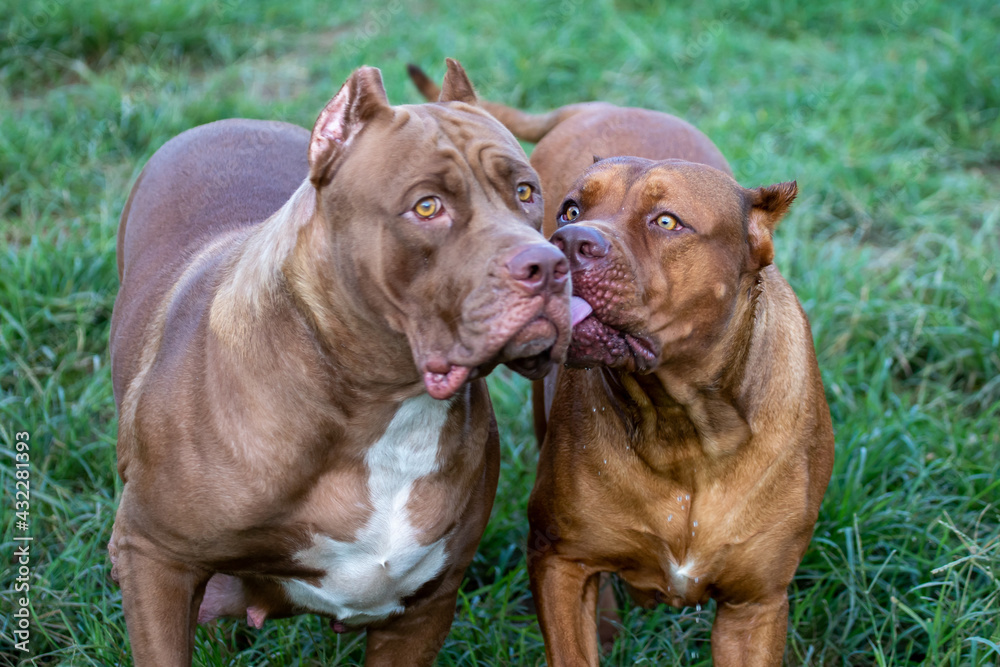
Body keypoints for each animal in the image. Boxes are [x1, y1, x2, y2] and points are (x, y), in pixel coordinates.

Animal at [108, 60, 572, 664]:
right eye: (427, 207)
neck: (386, 408)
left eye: (524, 191)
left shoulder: (422, 610)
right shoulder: (153, 557)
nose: (550, 264)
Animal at [532, 158, 836, 667]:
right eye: (571, 210)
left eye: (667, 222)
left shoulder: (754, 608)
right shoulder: (557, 561)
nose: (568, 242)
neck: (681, 427)